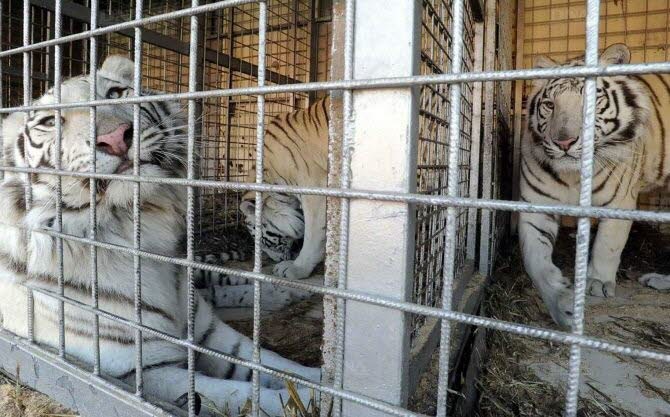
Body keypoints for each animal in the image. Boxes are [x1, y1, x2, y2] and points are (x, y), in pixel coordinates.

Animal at [0, 55, 319, 415]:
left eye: (115, 93)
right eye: (50, 121)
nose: (115, 137)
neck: (136, 232)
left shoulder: (208, 333)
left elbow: (272, 365)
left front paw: (325, 382)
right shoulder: (143, 368)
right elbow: (244, 395)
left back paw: (282, 291)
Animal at [519, 43, 670, 327]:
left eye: (591, 100)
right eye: (549, 105)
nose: (564, 142)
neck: (573, 175)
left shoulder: (620, 202)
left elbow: (608, 245)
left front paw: (597, 283)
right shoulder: (536, 207)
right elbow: (534, 261)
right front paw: (562, 304)